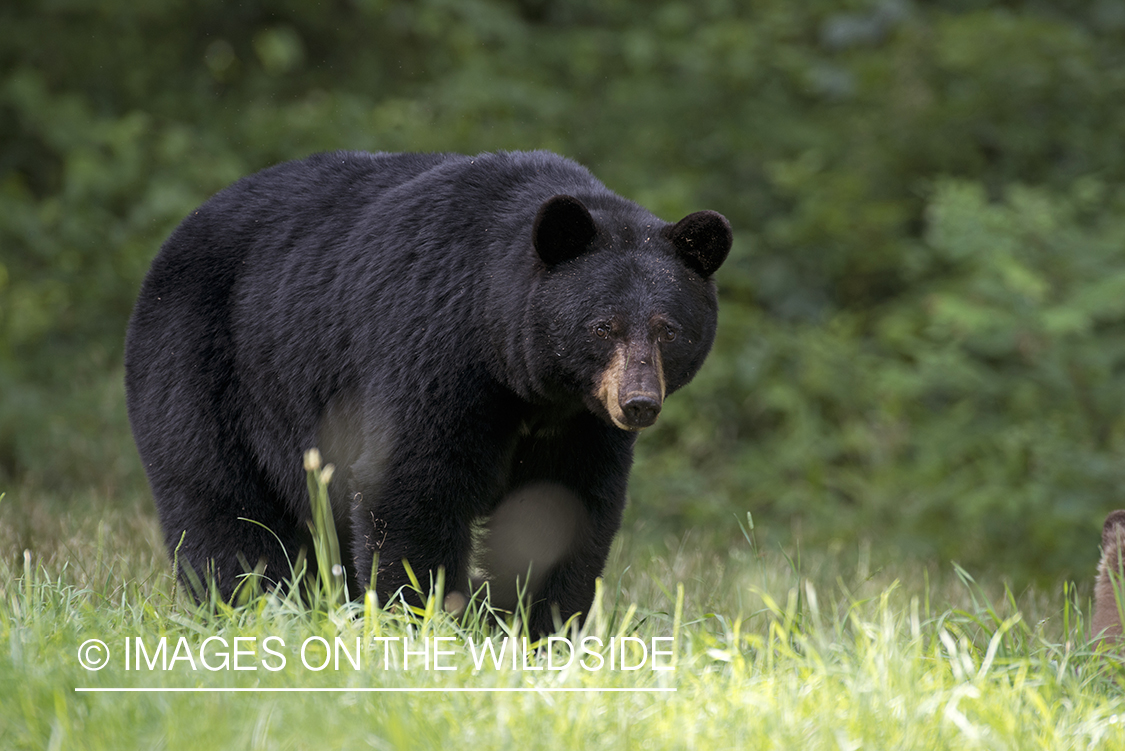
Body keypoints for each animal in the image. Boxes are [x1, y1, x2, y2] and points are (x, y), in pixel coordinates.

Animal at [125, 148, 729, 634]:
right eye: (603, 327)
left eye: (668, 330)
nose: (638, 403)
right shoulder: (431, 348)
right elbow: (411, 486)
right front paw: (421, 621)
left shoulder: (579, 422)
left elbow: (566, 506)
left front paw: (542, 630)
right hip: (206, 367)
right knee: (221, 503)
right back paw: (249, 607)